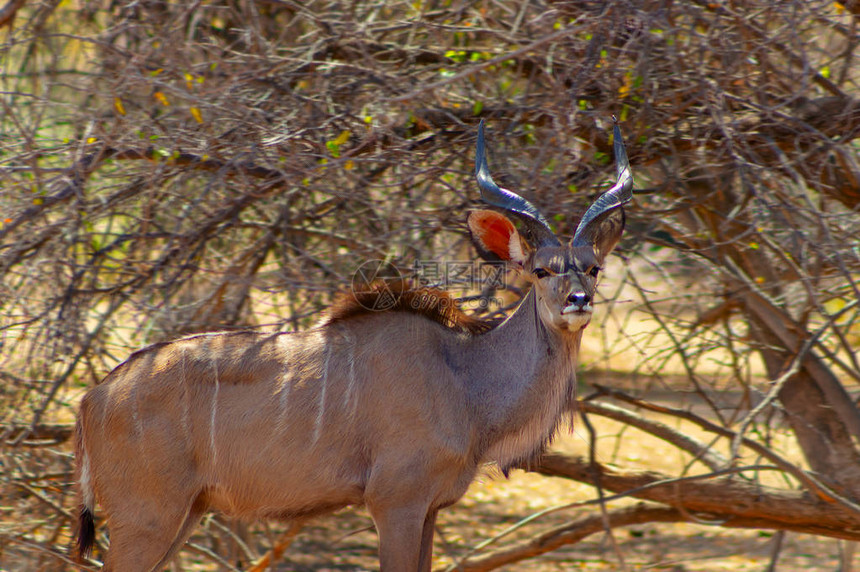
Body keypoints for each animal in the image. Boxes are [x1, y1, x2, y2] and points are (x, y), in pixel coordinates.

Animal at [77, 118, 636, 568]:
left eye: (592, 267)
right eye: (541, 270)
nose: (579, 302)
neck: (463, 375)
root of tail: (93, 399)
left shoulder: (430, 510)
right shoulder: (395, 503)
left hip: (185, 512)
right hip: (147, 515)